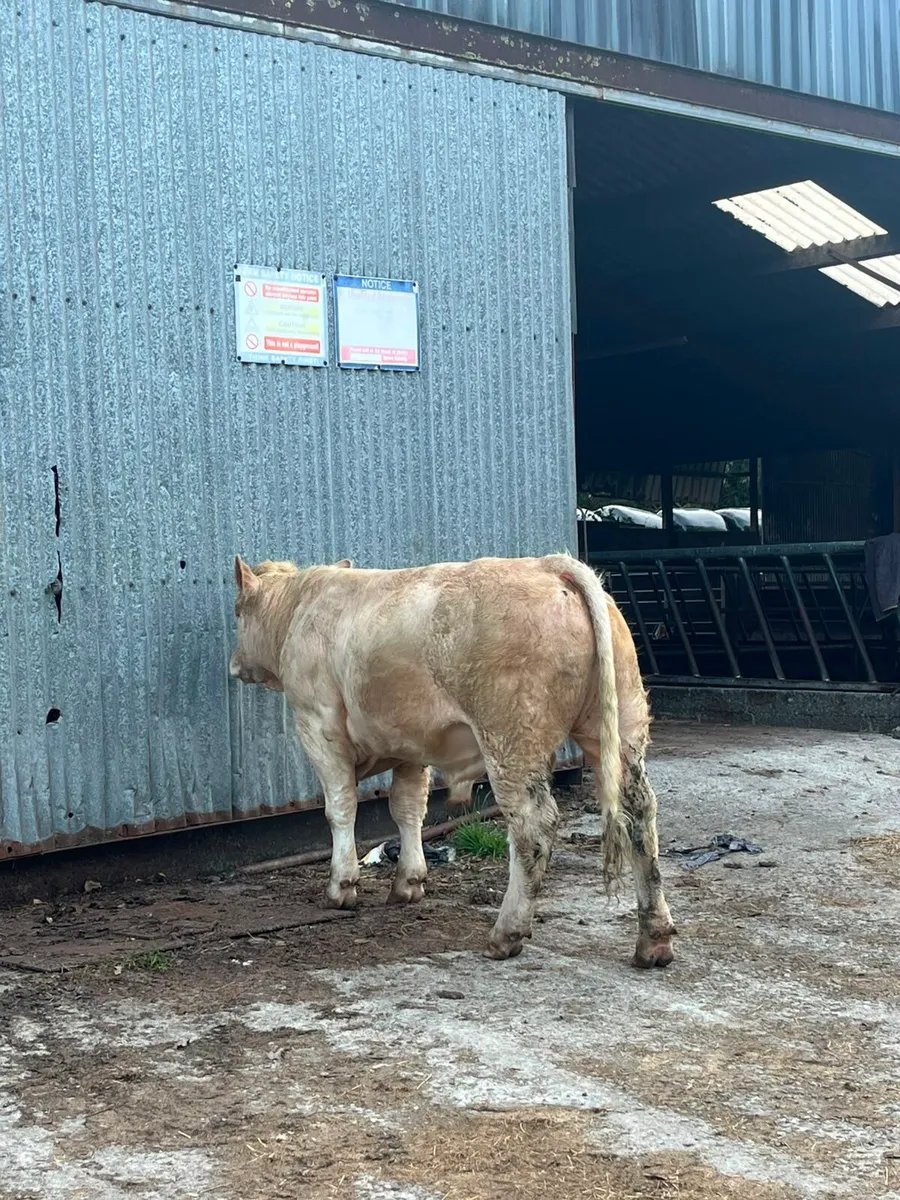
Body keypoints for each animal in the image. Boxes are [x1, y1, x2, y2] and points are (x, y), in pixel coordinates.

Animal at [229, 552, 675, 967]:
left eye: (237, 611)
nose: (234, 665)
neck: (299, 606)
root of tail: (550, 565)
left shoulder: (319, 727)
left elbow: (340, 808)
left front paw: (341, 887)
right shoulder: (409, 743)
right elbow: (408, 809)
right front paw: (408, 882)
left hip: (511, 739)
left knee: (533, 826)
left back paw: (506, 933)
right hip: (620, 728)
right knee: (640, 814)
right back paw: (654, 939)